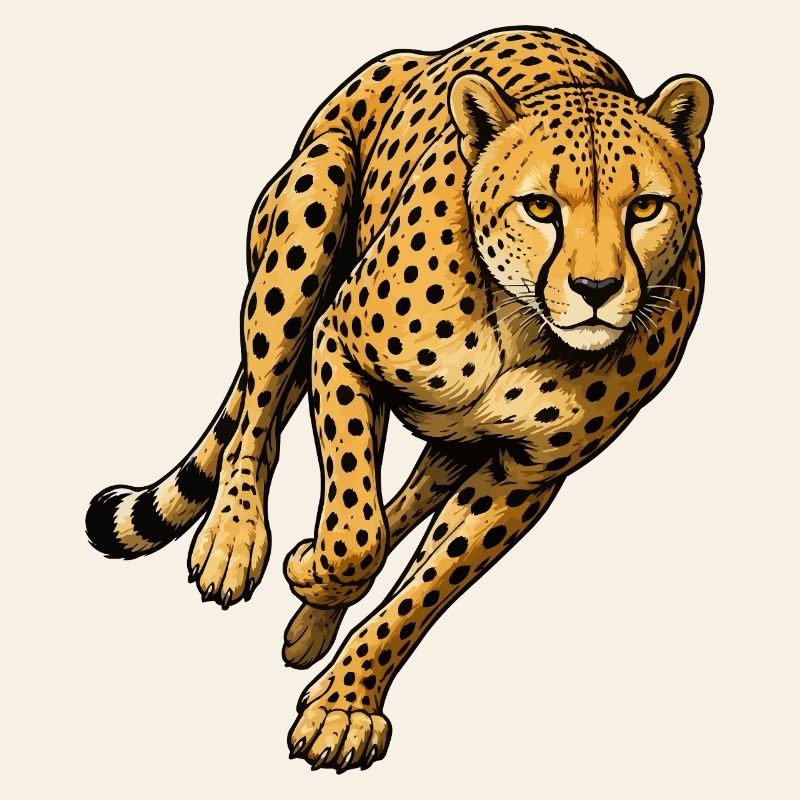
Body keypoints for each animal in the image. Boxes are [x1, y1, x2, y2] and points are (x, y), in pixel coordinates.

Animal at [86, 26, 712, 772]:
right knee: (261, 413)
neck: (521, 323)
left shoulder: (522, 474)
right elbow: (354, 533)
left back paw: (308, 626)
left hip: (454, 445)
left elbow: (422, 586)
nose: (596, 289)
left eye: (645, 206)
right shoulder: (339, 343)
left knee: (402, 505)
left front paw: (342, 703)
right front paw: (310, 570)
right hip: (310, 206)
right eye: (540, 206)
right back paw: (234, 541)